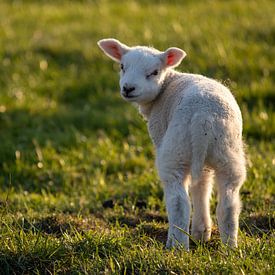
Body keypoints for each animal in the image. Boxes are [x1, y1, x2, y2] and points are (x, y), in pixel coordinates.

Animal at [98, 37, 247, 251]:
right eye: (122, 66)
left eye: (154, 72)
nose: (128, 88)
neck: (166, 85)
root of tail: (203, 117)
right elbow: (202, 187)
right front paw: (201, 233)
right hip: (226, 151)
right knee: (229, 201)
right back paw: (229, 248)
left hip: (175, 150)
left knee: (178, 202)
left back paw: (176, 247)